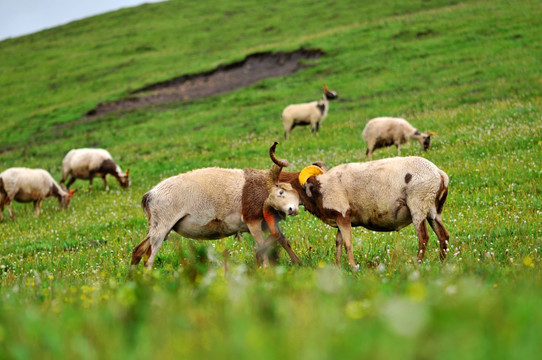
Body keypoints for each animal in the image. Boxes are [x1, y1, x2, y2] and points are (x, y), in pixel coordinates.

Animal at [130, 142, 304, 268]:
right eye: (280, 192)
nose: (292, 210)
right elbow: (262, 246)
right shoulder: (253, 222)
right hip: (161, 228)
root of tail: (150, 194)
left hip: (156, 228)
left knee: (138, 251)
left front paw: (298, 263)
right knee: (149, 260)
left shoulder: (269, 224)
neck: (262, 189)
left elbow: (283, 240)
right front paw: (266, 269)